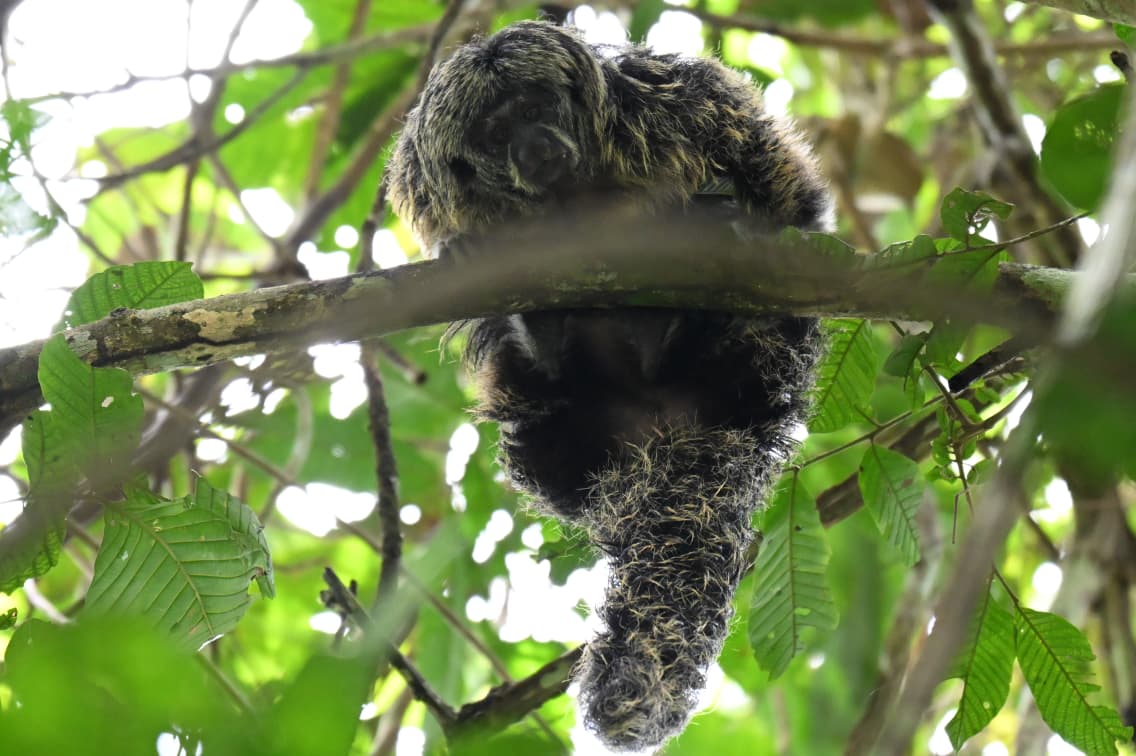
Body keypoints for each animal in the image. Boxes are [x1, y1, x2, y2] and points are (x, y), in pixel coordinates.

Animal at [386, 20, 833, 752]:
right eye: (494, 132)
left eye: (536, 106)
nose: (531, 143)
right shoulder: (434, 189)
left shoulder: (678, 104)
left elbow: (781, 182)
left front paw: (751, 222)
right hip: (559, 438)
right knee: (544, 413)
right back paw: (548, 331)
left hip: (759, 370)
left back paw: (700, 301)